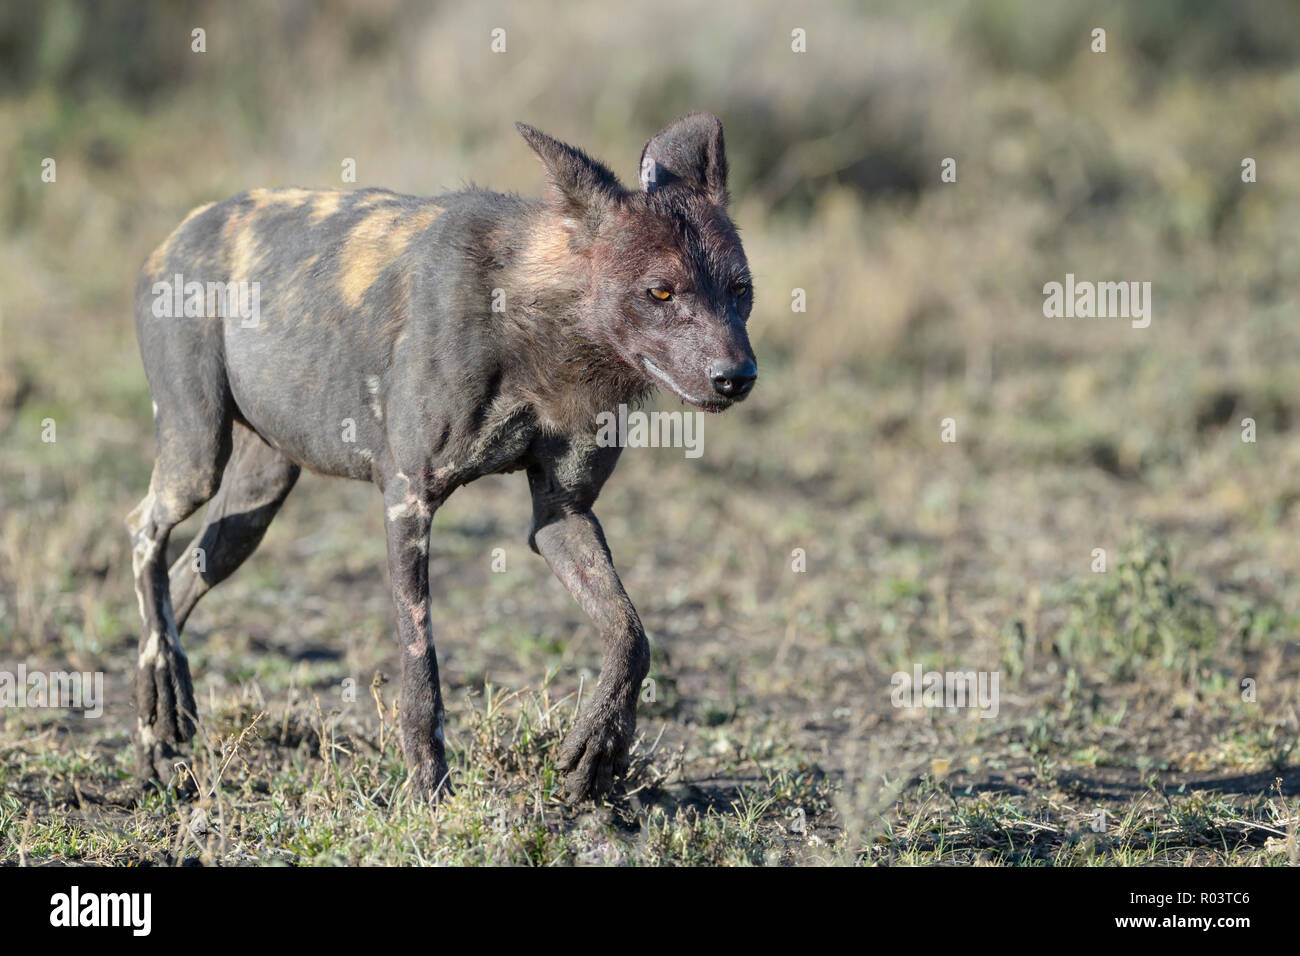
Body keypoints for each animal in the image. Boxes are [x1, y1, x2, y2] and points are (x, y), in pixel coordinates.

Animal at [126, 113, 759, 801]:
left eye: (741, 290)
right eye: (661, 292)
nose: (737, 376)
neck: (537, 325)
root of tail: (181, 230)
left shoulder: (562, 515)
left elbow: (631, 635)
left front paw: (599, 747)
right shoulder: (408, 500)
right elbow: (420, 667)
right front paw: (428, 788)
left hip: (256, 497)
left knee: (187, 571)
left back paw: (158, 732)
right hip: (197, 456)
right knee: (143, 532)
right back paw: (161, 694)